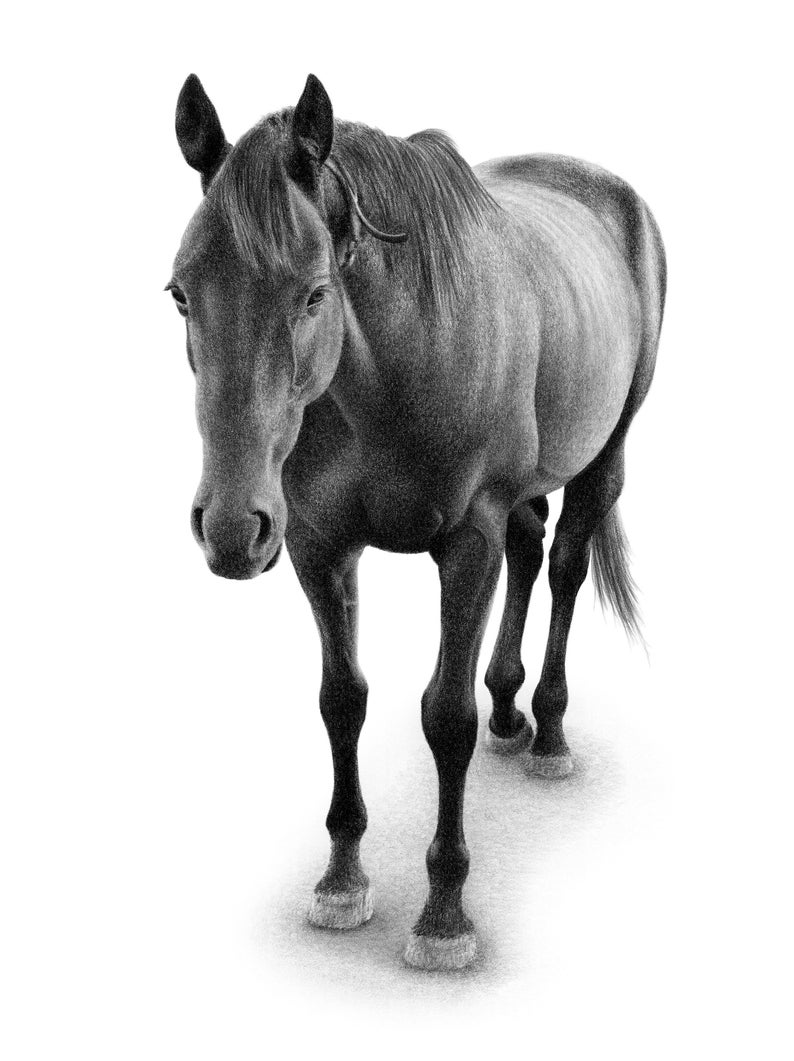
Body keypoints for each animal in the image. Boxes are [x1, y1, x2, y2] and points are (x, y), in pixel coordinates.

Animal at [168, 73, 666, 971]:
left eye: (315, 293)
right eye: (181, 293)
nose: (229, 526)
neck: (396, 365)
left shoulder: (466, 541)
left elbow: (445, 716)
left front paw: (443, 912)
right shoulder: (319, 547)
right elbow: (341, 699)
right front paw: (341, 878)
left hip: (605, 455)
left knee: (565, 568)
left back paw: (547, 732)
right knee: (530, 550)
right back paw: (510, 711)